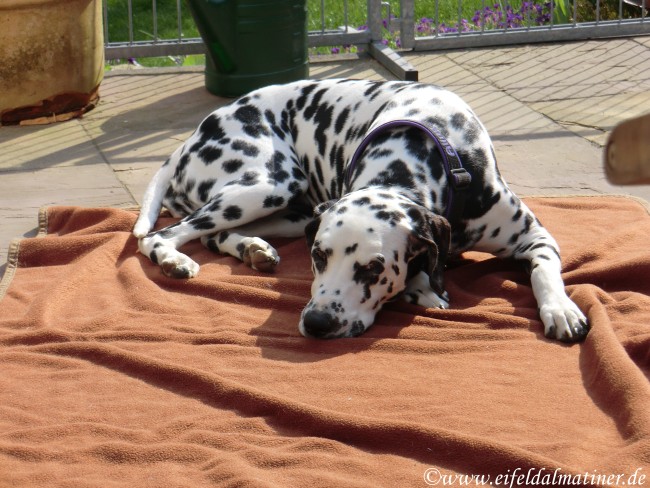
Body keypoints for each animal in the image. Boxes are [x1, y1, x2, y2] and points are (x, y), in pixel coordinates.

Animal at [133, 79, 589, 342]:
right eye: (318, 257)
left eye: (373, 268)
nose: (317, 323)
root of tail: (191, 137)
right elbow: (424, 273)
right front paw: (422, 286)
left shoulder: (535, 236)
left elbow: (545, 272)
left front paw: (560, 308)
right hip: (268, 185)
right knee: (162, 235)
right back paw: (175, 260)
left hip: (289, 209)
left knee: (211, 234)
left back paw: (253, 250)